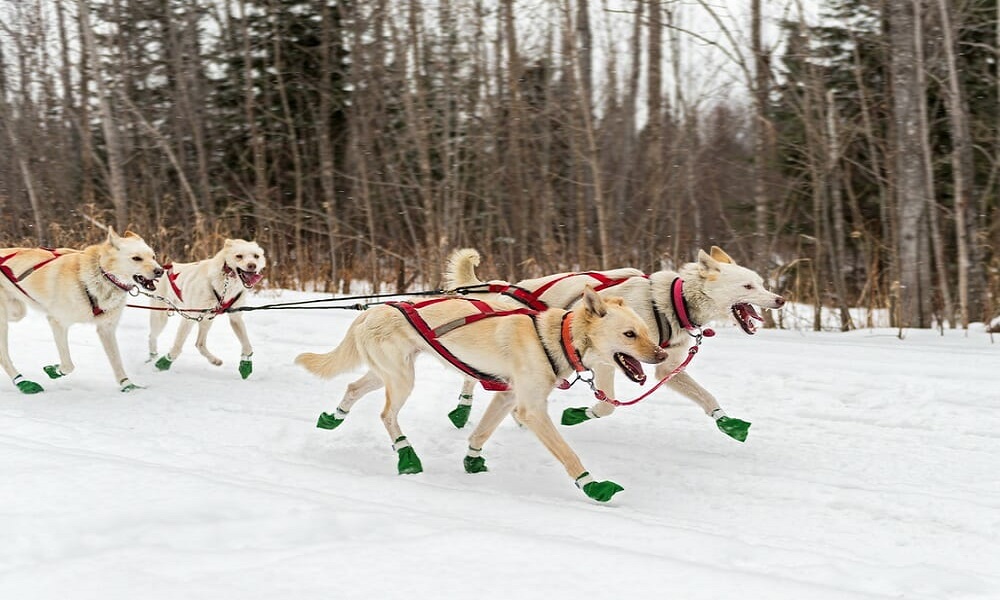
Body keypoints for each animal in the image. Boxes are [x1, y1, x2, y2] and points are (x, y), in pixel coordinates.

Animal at [0, 229, 163, 394]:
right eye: (136, 258)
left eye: (153, 257)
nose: (160, 271)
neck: (98, 277)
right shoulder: (58, 323)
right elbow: (68, 365)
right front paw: (54, 369)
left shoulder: (106, 329)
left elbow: (116, 362)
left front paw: (128, 385)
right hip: (4, 322)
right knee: (4, 357)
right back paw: (23, 382)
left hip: (17, 312)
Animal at [147, 237, 266, 378]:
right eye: (239, 256)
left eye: (256, 256)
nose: (252, 265)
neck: (226, 282)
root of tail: (163, 269)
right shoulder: (189, 317)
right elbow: (178, 345)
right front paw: (165, 362)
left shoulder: (235, 317)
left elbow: (247, 346)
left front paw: (245, 364)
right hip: (160, 318)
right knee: (152, 336)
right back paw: (153, 357)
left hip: (207, 319)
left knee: (200, 344)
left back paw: (214, 360)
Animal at [296, 286, 672, 502]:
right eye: (629, 334)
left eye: (645, 330)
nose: (662, 354)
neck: (556, 338)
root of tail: (371, 311)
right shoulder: (532, 410)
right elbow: (569, 455)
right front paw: (593, 485)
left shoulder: (507, 397)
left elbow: (481, 432)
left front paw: (472, 460)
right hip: (402, 380)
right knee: (387, 415)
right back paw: (407, 456)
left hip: (385, 374)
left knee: (352, 387)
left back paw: (332, 417)